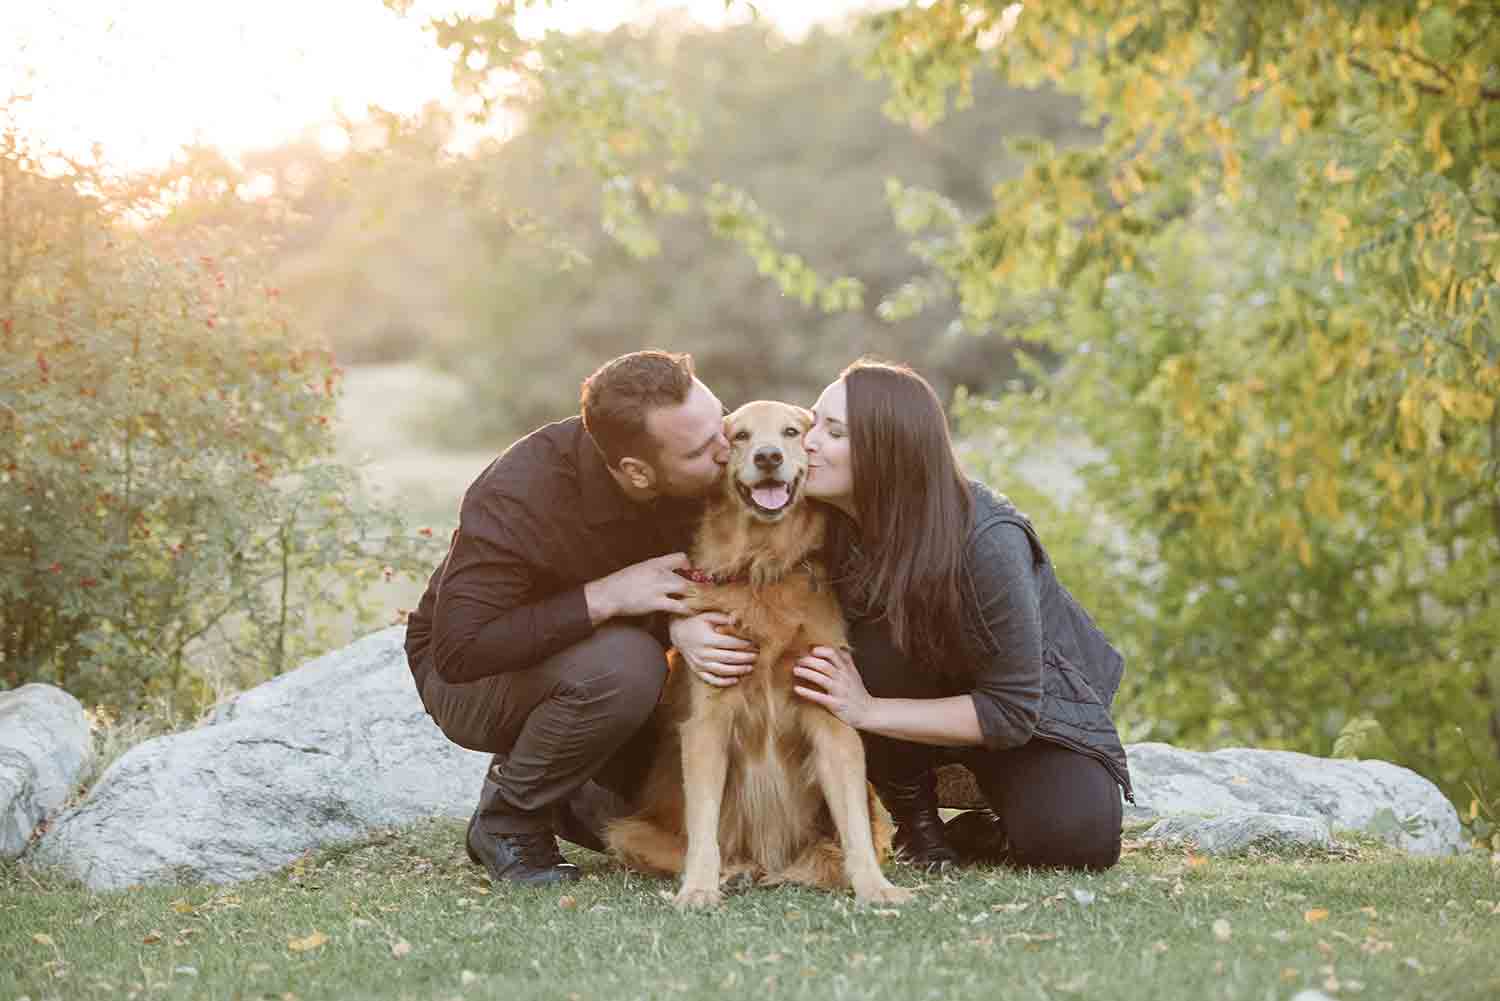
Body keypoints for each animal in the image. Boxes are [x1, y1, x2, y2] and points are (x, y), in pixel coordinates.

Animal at [600, 399, 906, 906]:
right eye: (739, 436)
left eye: (791, 432)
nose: (768, 457)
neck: (763, 567)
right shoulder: (706, 721)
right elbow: (703, 825)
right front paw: (699, 889)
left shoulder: (830, 714)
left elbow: (854, 828)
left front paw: (875, 887)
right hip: (626, 830)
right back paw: (734, 872)